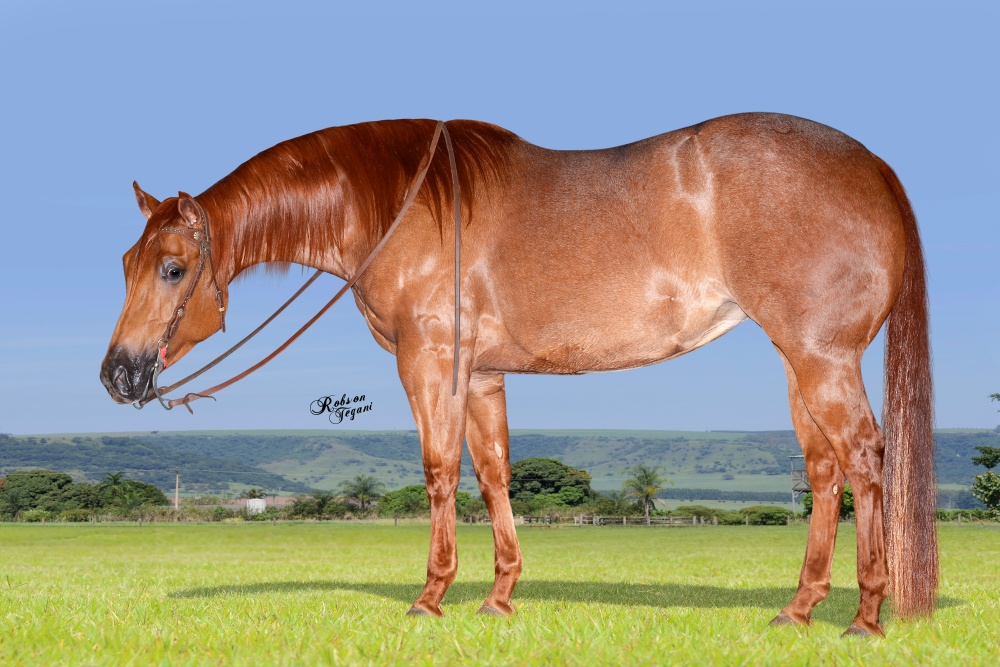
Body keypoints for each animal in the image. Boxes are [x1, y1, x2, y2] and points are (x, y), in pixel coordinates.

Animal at [100, 113, 936, 636]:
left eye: (172, 267)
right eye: (127, 261)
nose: (118, 374)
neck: (396, 204)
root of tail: (875, 168)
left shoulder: (430, 361)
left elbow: (440, 470)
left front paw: (431, 595)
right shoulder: (480, 374)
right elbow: (493, 471)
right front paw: (500, 596)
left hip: (823, 357)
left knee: (864, 458)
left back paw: (866, 615)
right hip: (800, 361)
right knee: (824, 470)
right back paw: (799, 610)